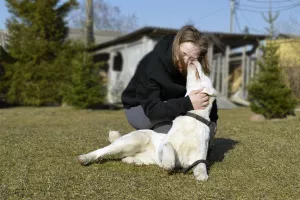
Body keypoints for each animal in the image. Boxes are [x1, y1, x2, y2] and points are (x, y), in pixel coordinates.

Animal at [78, 61, 217, 181]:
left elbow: (202, 166)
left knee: (124, 157)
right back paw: (85, 158)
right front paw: (168, 163)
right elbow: (169, 145)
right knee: (102, 150)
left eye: (205, 74)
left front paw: (202, 174)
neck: (194, 117)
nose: (195, 59)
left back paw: (132, 160)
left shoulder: (198, 157)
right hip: (133, 140)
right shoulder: (162, 149)